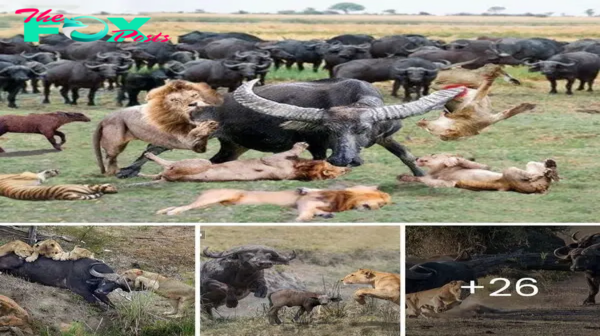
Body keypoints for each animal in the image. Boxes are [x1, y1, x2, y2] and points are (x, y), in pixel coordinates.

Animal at [92, 79, 224, 176]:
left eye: (195, 95)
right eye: (175, 100)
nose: (195, 104)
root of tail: (105, 118)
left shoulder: (198, 146)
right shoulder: (187, 141)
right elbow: (196, 132)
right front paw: (209, 124)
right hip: (115, 143)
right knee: (109, 157)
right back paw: (113, 171)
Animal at [400, 153, 560, 193]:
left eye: (433, 155)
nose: (417, 158)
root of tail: (543, 188)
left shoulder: (485, 166)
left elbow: (461, 160)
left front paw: (451, 160)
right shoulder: (448, 183)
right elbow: (424, 179)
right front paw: (403, 177)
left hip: (519, 168)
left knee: (542, 174)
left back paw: (550, 168)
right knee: (543, 176)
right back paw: (549, 171)